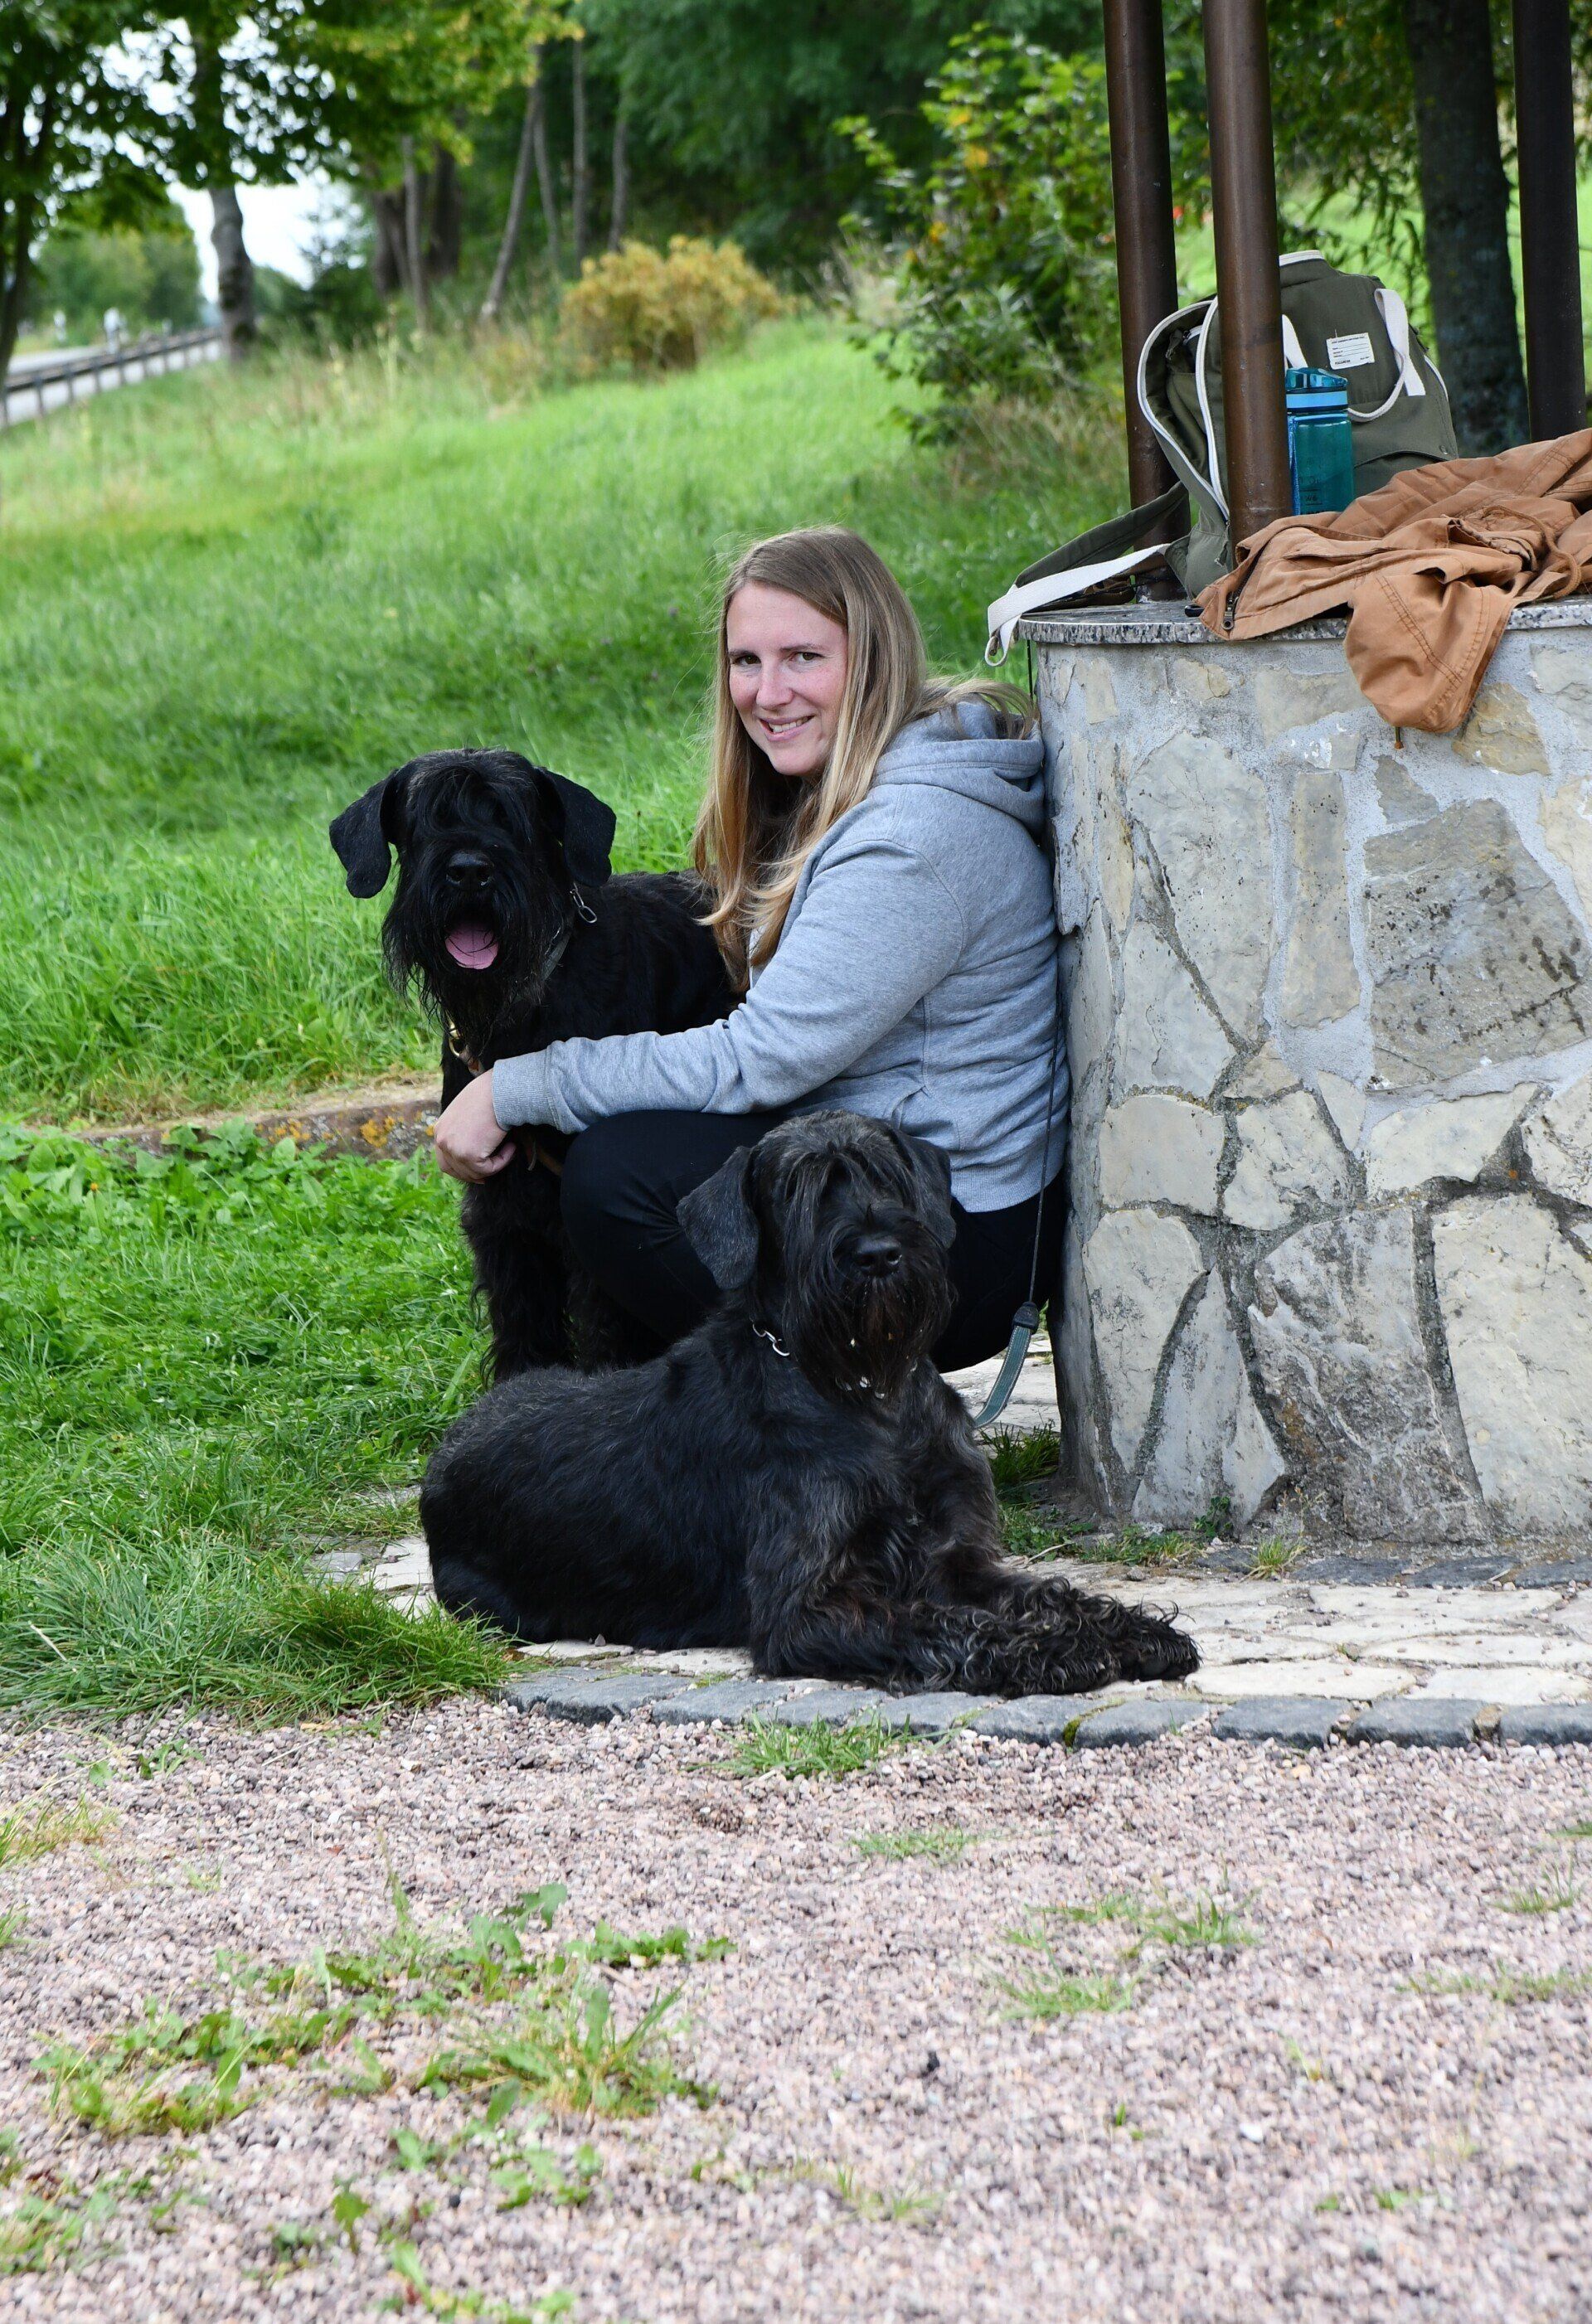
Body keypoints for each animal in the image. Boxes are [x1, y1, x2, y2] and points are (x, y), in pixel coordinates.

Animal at [330, 748, 733, 1376]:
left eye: (511, 818)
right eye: (423, 821)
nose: (469, 871)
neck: (518, 1010)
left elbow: (604, 1326)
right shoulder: (502, 1206)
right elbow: (521, 1314)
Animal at [421, 1111, 1199, 1696]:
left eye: (887, 1175)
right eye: (797, 1189)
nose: (878, 1253)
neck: (868, 1390)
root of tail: (443, 1454)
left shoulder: (957, 1559)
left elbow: (1051, 1592)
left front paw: (1129, 1629)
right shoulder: (809, 1607)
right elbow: (938, 1625)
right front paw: (1051, 1652)